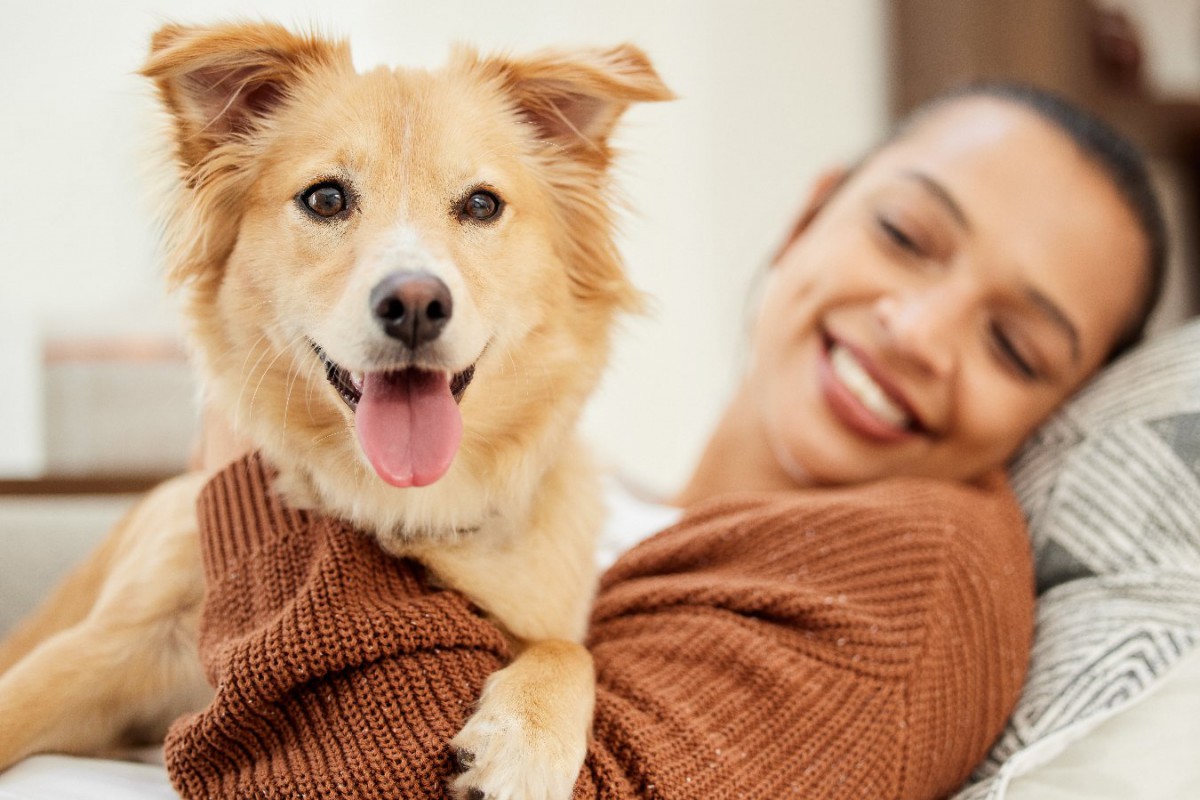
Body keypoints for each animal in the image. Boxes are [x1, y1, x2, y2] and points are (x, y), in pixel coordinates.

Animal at [0, 21, 672, 796]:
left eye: (481, 205)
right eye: (325, 200)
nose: (415, 305)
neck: (400, 500)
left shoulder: (541, 612)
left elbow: (568, 651)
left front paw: (523, 743)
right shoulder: (106, 644)